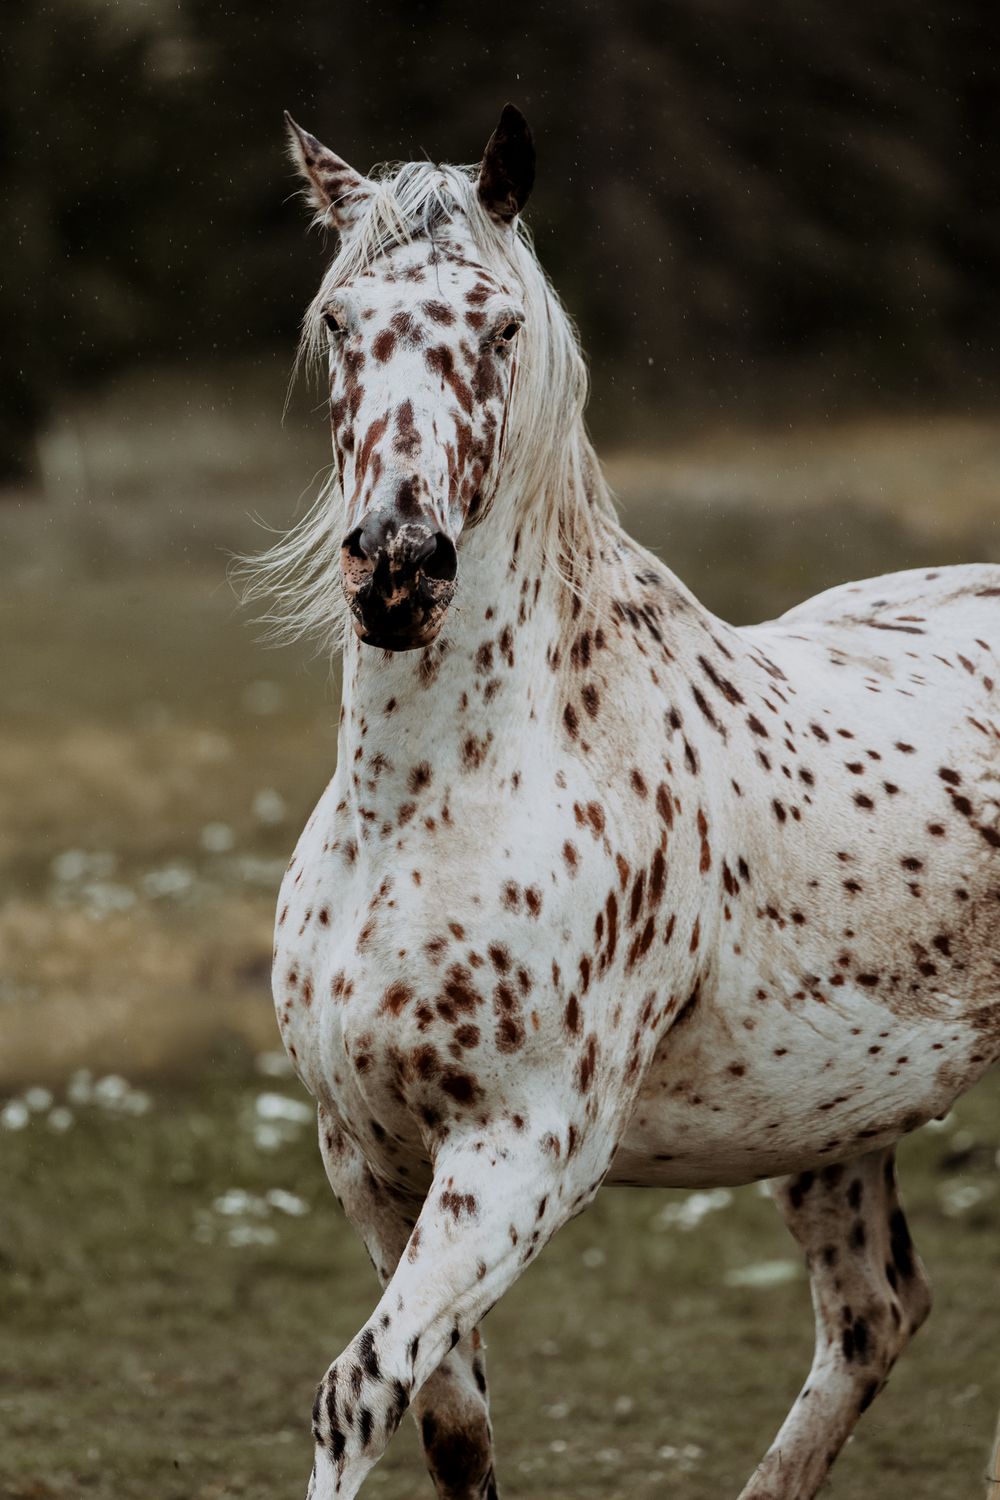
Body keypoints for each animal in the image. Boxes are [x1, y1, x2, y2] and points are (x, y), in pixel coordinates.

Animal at [248, 104, 1000, 1499]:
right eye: (338, 320)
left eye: (499, 328)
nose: (398, 565)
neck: (426, 804)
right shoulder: (370, 1156)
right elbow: (446, 1423)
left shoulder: (521, 1151)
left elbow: (354, 1393)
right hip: (833, 1133)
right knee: (871, 1318)